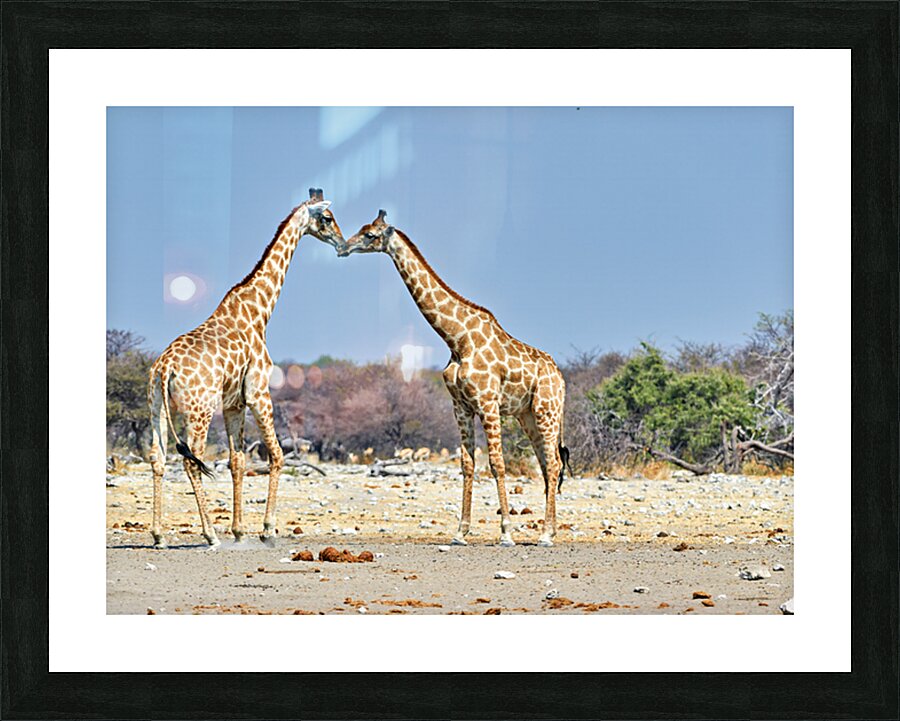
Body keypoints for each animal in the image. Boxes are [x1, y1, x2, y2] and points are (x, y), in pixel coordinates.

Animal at [146, 189, 344, 548]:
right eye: (327, 217)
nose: (340, 240)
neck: (259, 310)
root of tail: (164, 368)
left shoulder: (234, 403)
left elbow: (237, 461)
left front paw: (239, 531)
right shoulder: (258, 392)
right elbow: (276, 455)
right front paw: (267, 529)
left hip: (156, 408)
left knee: (158, 457)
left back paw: (159, 535)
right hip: (199, 410)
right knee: (191, 460)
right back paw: (210, 534)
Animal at [338, 211, 570, 547]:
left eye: (370, 235)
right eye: (361, 228)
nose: (344, 246)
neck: (457, 339)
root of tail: (561, 377)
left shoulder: (488, 404)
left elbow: (497, 463)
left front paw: (506, 533)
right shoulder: (461, 406)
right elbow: (467, 464)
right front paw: (460, 532)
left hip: (546, 410)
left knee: (553, 463)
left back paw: (546, 535)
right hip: (527, 415)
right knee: (545, 463)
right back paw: (548, 530)